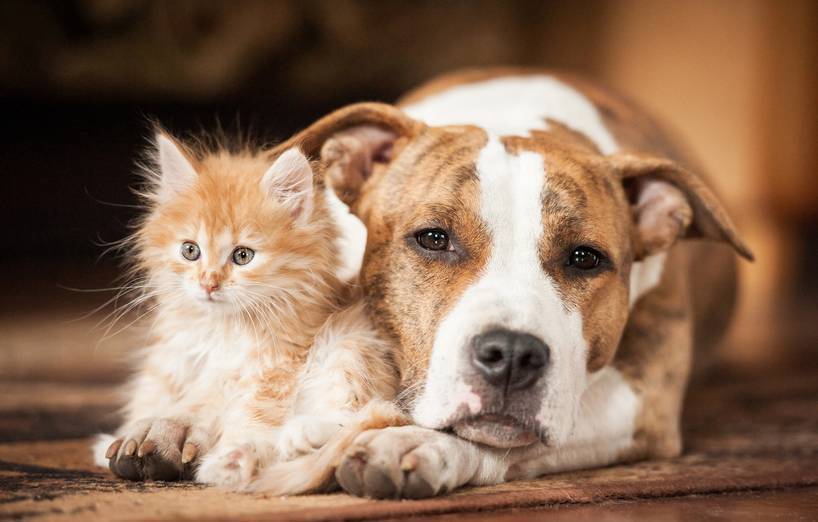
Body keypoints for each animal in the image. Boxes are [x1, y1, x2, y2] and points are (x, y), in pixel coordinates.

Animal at [91, 128, 396, 486]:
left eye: (242, 256)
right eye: (190, 251)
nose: (208, 283)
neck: (220, 328)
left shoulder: (279, 364)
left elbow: (250, 410)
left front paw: (230, 459)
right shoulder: (171, 359)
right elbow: (155, 397)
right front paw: (121, 438)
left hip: (352, 344)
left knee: (365, 413)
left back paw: (297, 436)